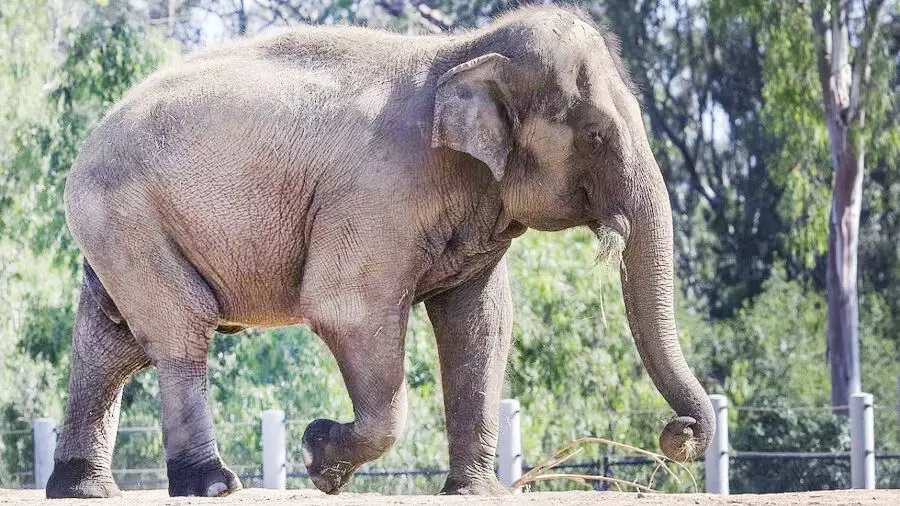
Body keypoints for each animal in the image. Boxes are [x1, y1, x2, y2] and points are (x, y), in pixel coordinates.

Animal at [47, 5, 714, 499]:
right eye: (597, 133)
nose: (677, 434)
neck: (461, 52)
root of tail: (85, 141)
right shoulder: (376, 195)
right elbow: (347, 309)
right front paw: (319, 456)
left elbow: (481, 323)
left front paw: (475, 494)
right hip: (129, 217)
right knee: (181, 329)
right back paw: (212, 486)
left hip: (118, 228)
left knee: (110, 342)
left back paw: (83, 490)